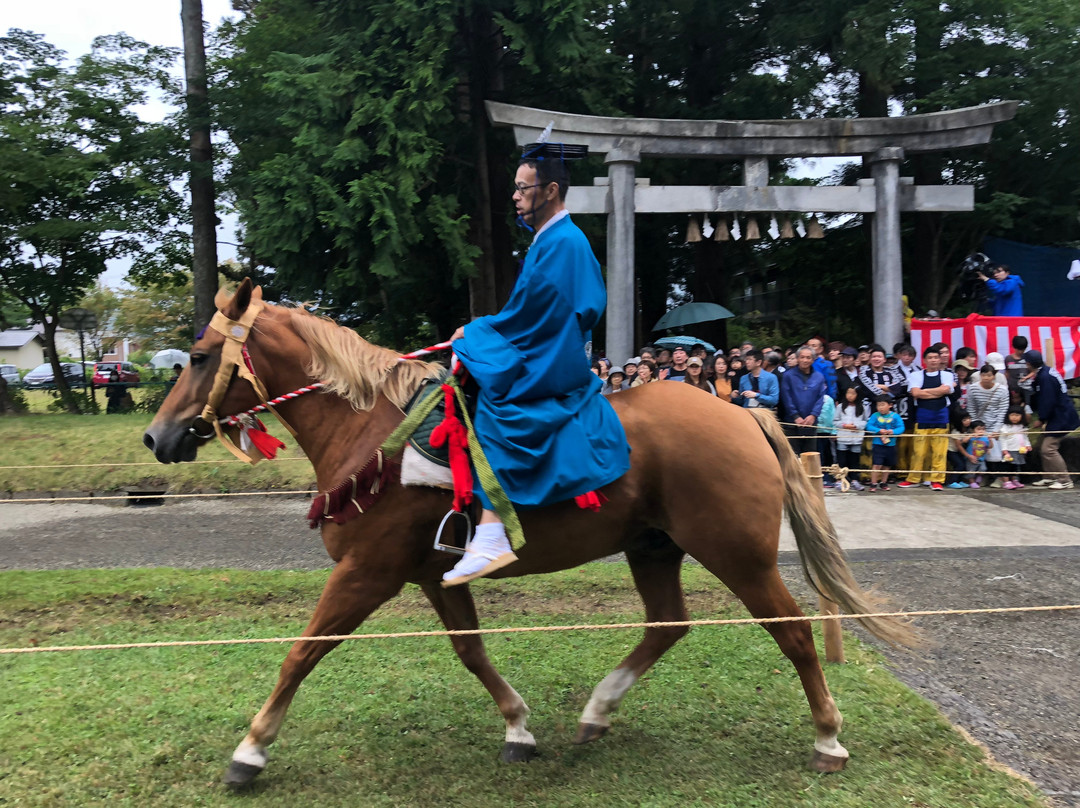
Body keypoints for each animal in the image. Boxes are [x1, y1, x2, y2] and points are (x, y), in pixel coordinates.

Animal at [143, 278, 915, 790]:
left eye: (200, 355)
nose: (158, 437)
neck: (368, 432)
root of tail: (744, 413)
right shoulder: (431, 571)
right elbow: (471, 652)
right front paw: (518, 726)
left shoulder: (366, 571)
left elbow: (302, 654)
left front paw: (251, 750)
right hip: (653, 545)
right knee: (668, 623)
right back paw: (598, 711)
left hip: (738, 552)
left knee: (793, 632)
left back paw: (828, 738)